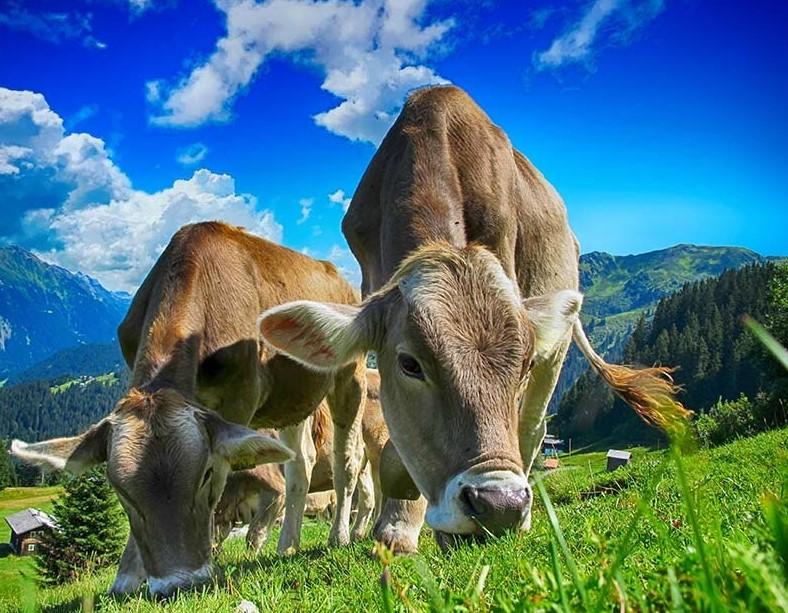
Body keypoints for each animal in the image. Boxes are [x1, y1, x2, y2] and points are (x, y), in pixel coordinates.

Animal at [11, 221, 368, 596]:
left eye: (206, 475)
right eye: (120, 491)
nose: (178, 584)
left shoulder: (239, 400)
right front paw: (127, 577)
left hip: (350, 376)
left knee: (348, 459)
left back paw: (340, 535)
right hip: (292, 399)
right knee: (301, 462)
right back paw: (288, 545)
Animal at [258, 85, 689, 553]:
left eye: (523, 365)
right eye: (409, 364)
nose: (500, 505)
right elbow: (395, 448)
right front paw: (397, 528)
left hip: (556, 350)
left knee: (532, 427)